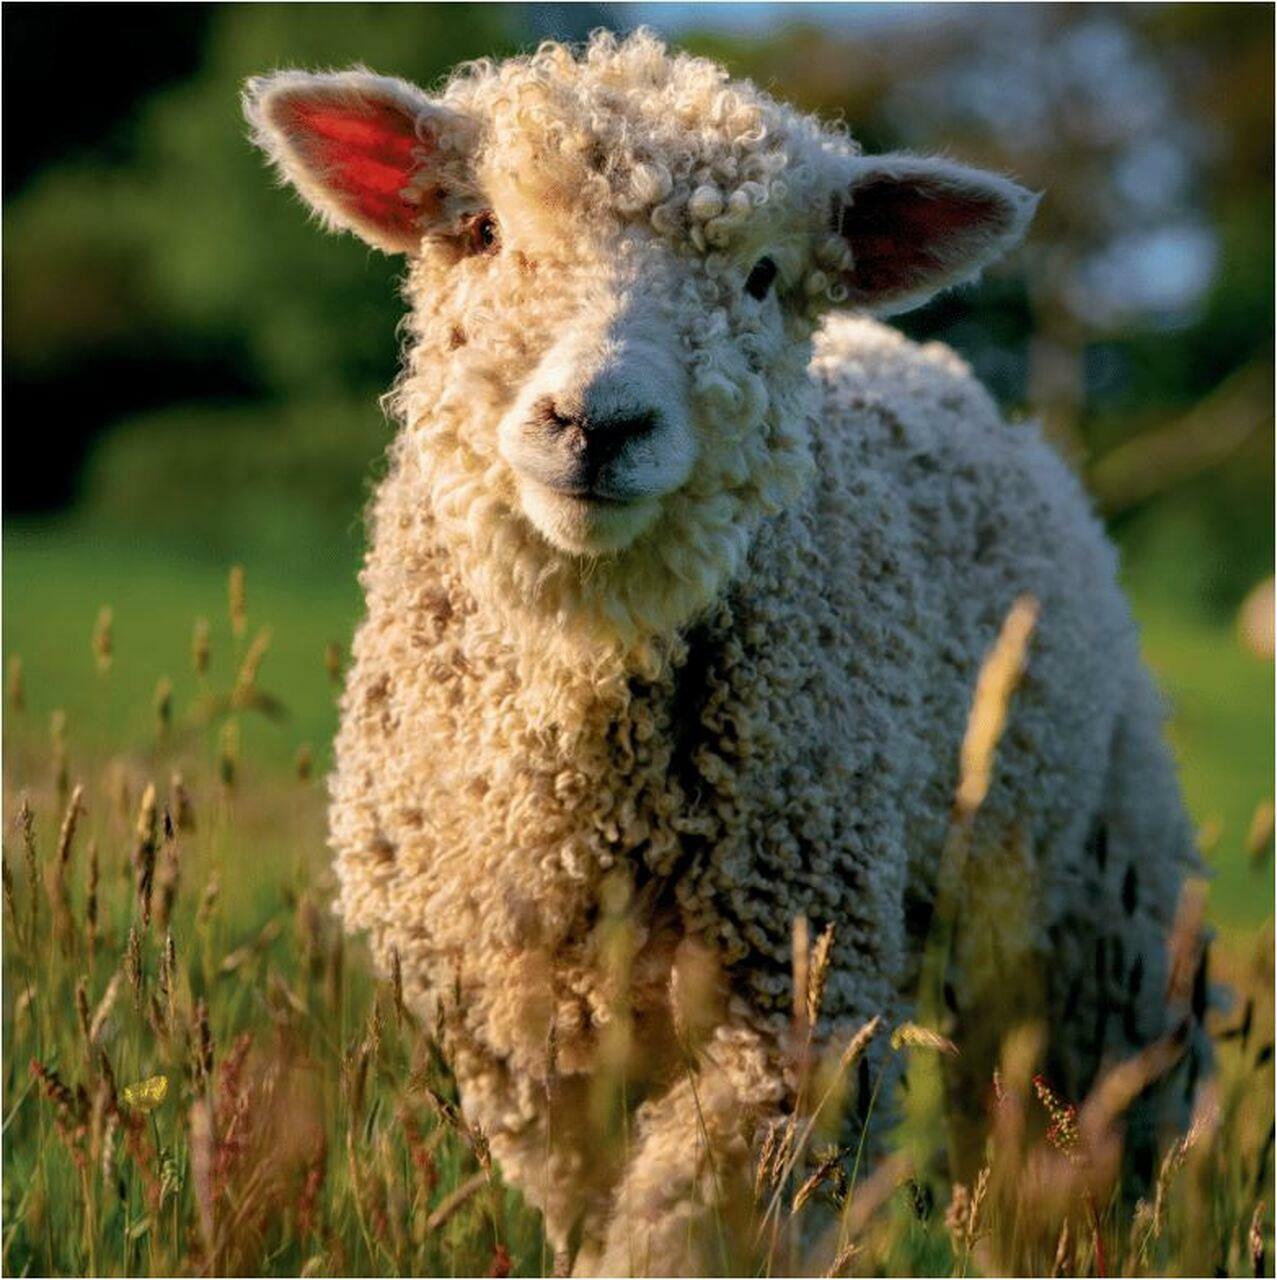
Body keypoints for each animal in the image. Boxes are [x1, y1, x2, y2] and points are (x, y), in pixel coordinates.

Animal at [245, 30, 1211, 1274]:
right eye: (483, 231)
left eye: (760, 276)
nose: (595, 423)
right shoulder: (513, 1033)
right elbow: (594, 1208)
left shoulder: (797, 1010)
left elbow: (682, 1226)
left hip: (1097, 911)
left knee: (1086, 1124)